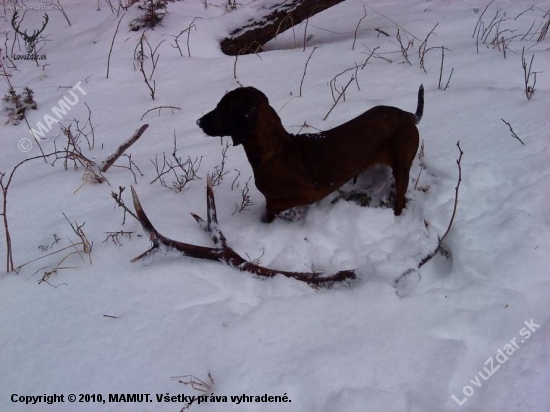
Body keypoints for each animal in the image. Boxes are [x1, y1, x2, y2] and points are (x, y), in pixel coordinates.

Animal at [198, 85, 426, 224]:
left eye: (221, 109)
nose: (198, 121)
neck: (276, 150)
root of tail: (407, 116)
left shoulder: (307, 194)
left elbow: (271, 207)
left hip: (402, 166)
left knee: (401, 199)